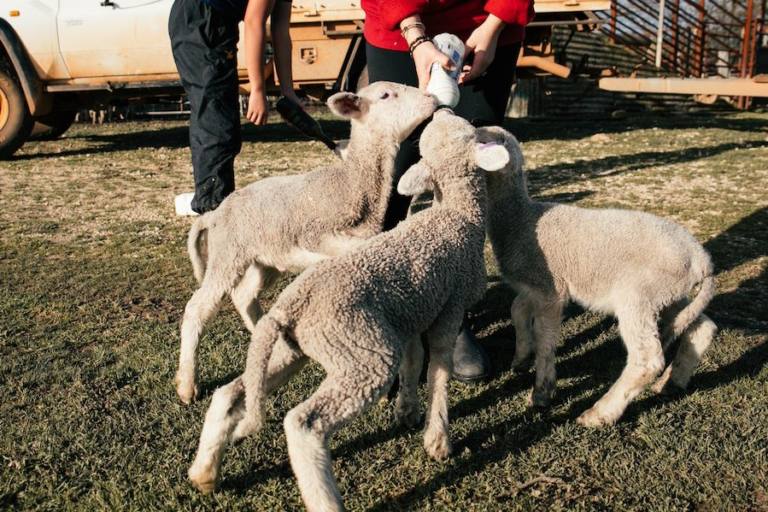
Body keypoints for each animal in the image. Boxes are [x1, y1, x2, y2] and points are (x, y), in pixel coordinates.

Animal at [175, 82, 437, 404]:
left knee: (244, 296)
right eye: (386, 95)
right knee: (197, 308)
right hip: (228, 254)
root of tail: (215, 214)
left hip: (265, 259)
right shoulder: (316, 233)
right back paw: (187, 385)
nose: (431, 98)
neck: (351, 183)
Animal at [185, 110, 511, 511]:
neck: (456, 213)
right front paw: (438, 439)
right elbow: (438, 371)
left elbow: (414, 361)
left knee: (230, 393)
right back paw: (325, 499)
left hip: (293, 349)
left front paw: (406, 411)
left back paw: (204, 471)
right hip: (364, 354)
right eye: (468, 131)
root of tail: (291, 306)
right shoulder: (449, 307)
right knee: (303, 425)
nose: (442, 111)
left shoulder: (409, 313)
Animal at [473, 125, 717, 427]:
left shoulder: (550, 289)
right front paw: (521, 358)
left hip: (638, 295)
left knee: (647, 359)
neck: (520, 218)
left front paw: (542, 391)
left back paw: (600, 413)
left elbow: (545, 335)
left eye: (482, 139)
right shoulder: (533, 284)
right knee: (702, 327)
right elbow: (516, 310)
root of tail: (701, 259)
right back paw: (672, 382)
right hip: (669, 295)